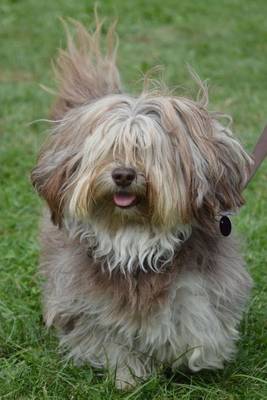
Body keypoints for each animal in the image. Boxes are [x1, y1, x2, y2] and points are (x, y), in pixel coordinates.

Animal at [31, 20, 253, 390]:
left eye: (145, 150)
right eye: (109, 149)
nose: (123, 174)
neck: (135, 235)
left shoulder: (202, 289)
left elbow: (194, 324)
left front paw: (190, 358)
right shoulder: (93, 300)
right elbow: (113, 338)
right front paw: (129, 378)